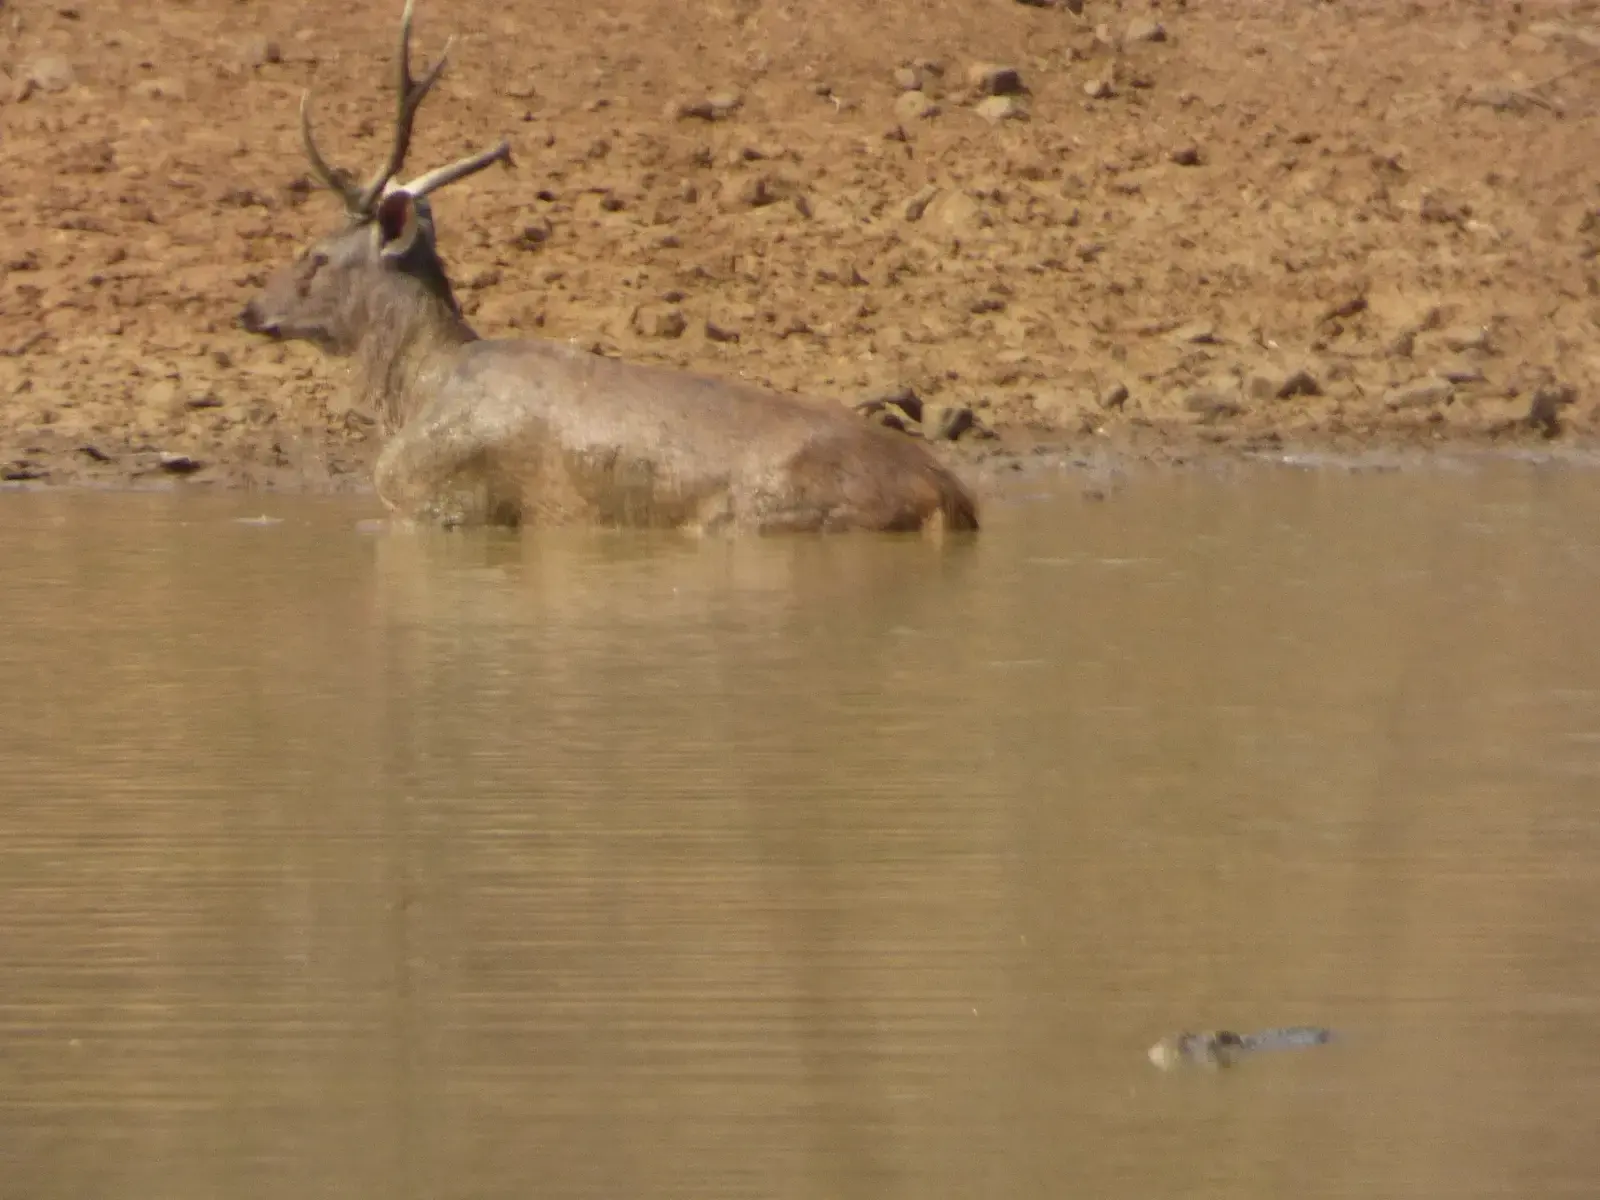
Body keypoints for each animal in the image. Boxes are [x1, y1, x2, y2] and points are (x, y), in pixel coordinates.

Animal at [237, 1, 980, 535]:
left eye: (317, 254)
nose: (250, 309)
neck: (417, 396)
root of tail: (951, 494)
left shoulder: (445, 504)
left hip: (767, 514)